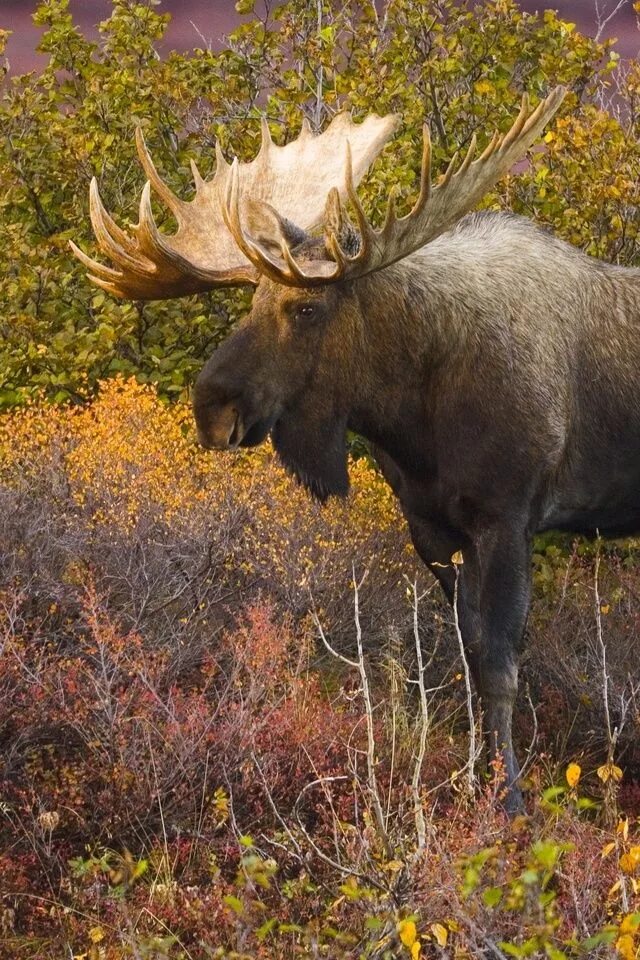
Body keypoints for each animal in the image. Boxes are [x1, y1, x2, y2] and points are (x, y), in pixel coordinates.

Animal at [72, 88, 636, 808]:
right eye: (252, 301)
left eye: (307, 308)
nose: (212, 409)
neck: (415, 414)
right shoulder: (431, 527)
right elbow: (468, 657)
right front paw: (471, 779)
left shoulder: (509, 516)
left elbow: (502, 666)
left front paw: (508, 798)